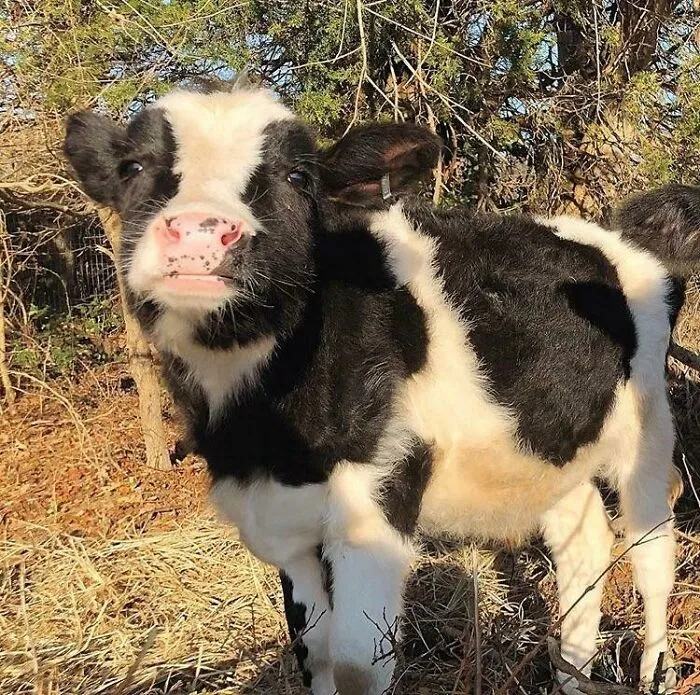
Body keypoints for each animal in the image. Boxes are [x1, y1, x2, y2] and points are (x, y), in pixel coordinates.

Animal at [63, 80, 699, 695]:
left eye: (298, 177)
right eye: (132, 167)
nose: (199, 233)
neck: (263, 431)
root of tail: (622, 235)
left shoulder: (376, 495)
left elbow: (356, 666)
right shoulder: (282, 521)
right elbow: (314, 657)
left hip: (647, 429)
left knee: (652, 551)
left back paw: (656, 670)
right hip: (548, 445)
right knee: (583, 538)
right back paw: (571, 674)